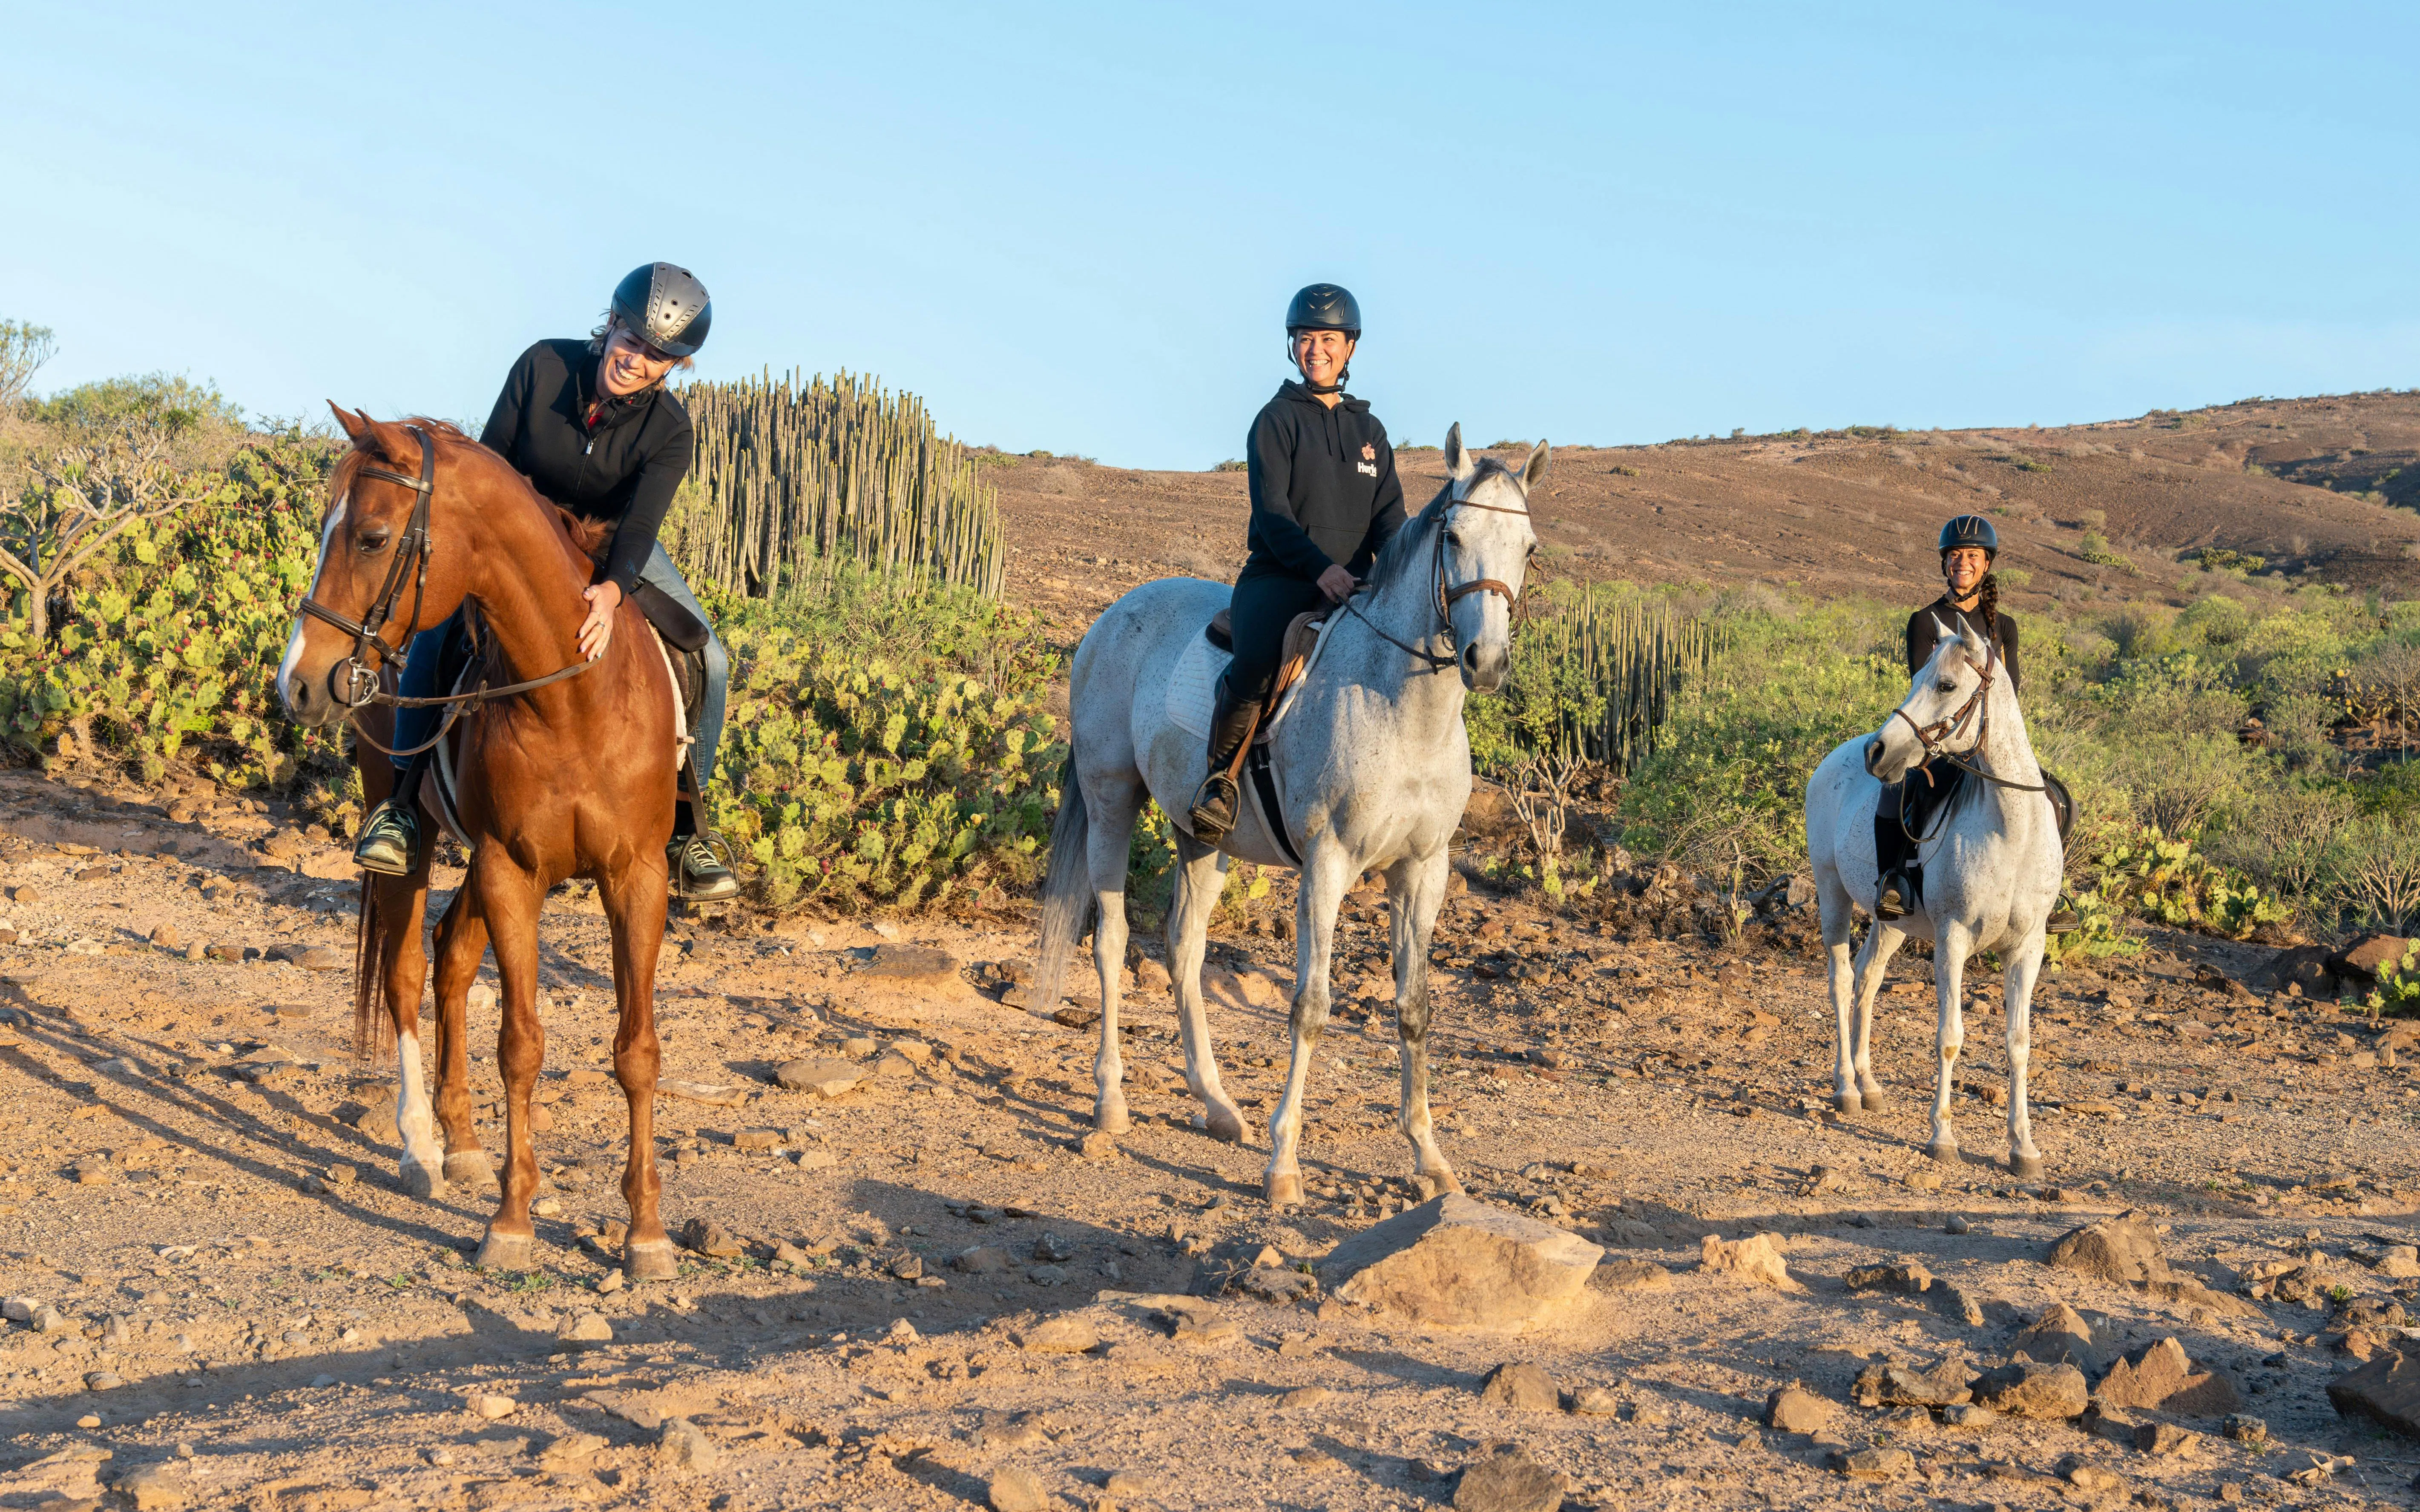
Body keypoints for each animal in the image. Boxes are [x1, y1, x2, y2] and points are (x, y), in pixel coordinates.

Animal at [277, 406, 687, 1277]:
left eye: (370, 536)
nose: (298, 682)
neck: (571, 692)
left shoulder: (634, 878)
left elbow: (637, 1049)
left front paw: (645, 1233)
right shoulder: (511, 869)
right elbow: (522, 1044)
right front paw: (511, 1221)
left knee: (452, 956)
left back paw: (463, 1141)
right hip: (417, 830)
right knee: (405, 972)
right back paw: (422, 1147)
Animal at [1031, 423, 1541, 1206]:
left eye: (1529, 548)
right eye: (1453, 536)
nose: (1484, 660)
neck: (1402, 711)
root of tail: (1114, 616)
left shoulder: (1422, 871)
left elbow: (1415, 1007)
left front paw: (1428, 1157)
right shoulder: (1326, 866)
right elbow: (1310, 1006)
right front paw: (1284, 1164)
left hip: (1198, 836)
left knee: (1183, 949)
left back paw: (1215, 1104)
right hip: (1113, 798)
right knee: (1111, 941)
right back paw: (1110, 1102)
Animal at [1803, 613, 2063, 1177]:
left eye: (1945, 685)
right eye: (1918, 674)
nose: (1878, 752)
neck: (2011, 831)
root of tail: (1834, 757)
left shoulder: (2028, 948)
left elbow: (2019, 1043)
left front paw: (2024, 1147)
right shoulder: (1953, 940)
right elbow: (1950, 1038)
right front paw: (1942, 1136)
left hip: (1892, 923)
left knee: (1868, 980)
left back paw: (1869, 1084)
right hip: (1832, 893)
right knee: (1841, 980)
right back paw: (1846, 1088)